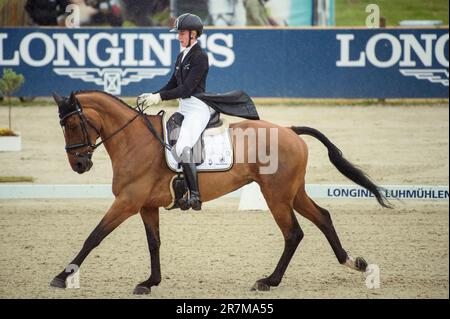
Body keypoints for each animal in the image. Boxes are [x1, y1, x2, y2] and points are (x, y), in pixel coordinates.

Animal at [50, 90, 390, 296]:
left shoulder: (127, 202)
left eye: (72, 124)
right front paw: (150, 282)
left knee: (294, 233)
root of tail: (290, 130)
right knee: (323, 217)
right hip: (293, 193)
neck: (134, 140)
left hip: (277, 196)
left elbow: (94, 237)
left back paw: (269, 281)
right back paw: (353, 263)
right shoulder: (146, 206)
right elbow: (154, 244)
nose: (79, 165)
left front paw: (62, 277)